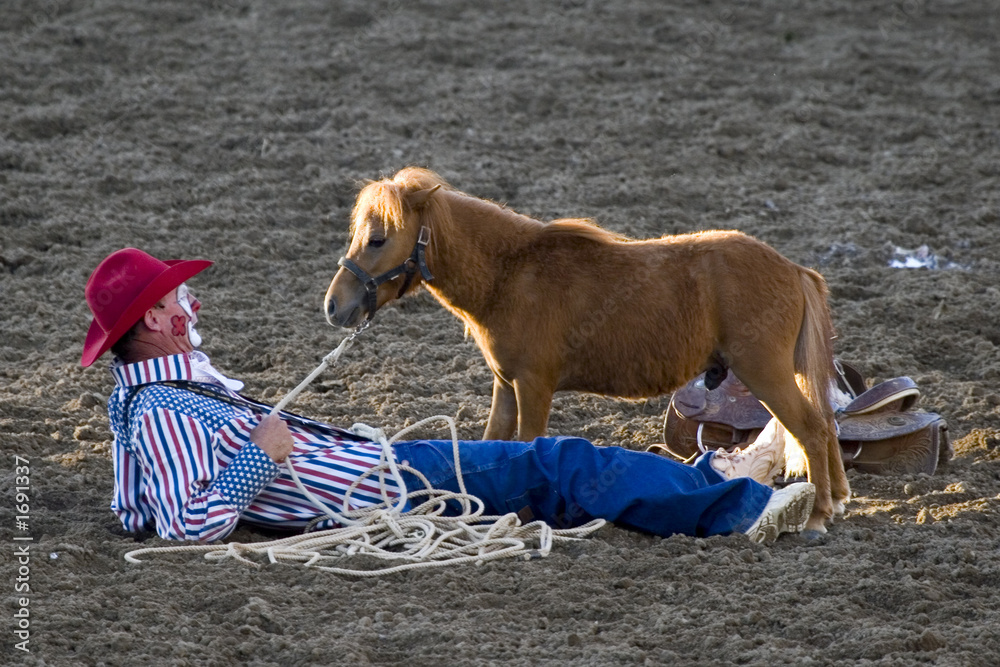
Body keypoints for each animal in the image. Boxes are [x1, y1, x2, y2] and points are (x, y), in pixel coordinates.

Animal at [326, 167, 852, 532]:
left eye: (378, 238)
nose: (334, 306)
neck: (511, 274)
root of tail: (793, 270)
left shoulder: (534, 387)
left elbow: (527, 443)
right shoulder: (505, 385)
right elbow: (495, 440)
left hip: (765, 372)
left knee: (810, 429)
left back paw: (817, 516)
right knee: (825, 425)